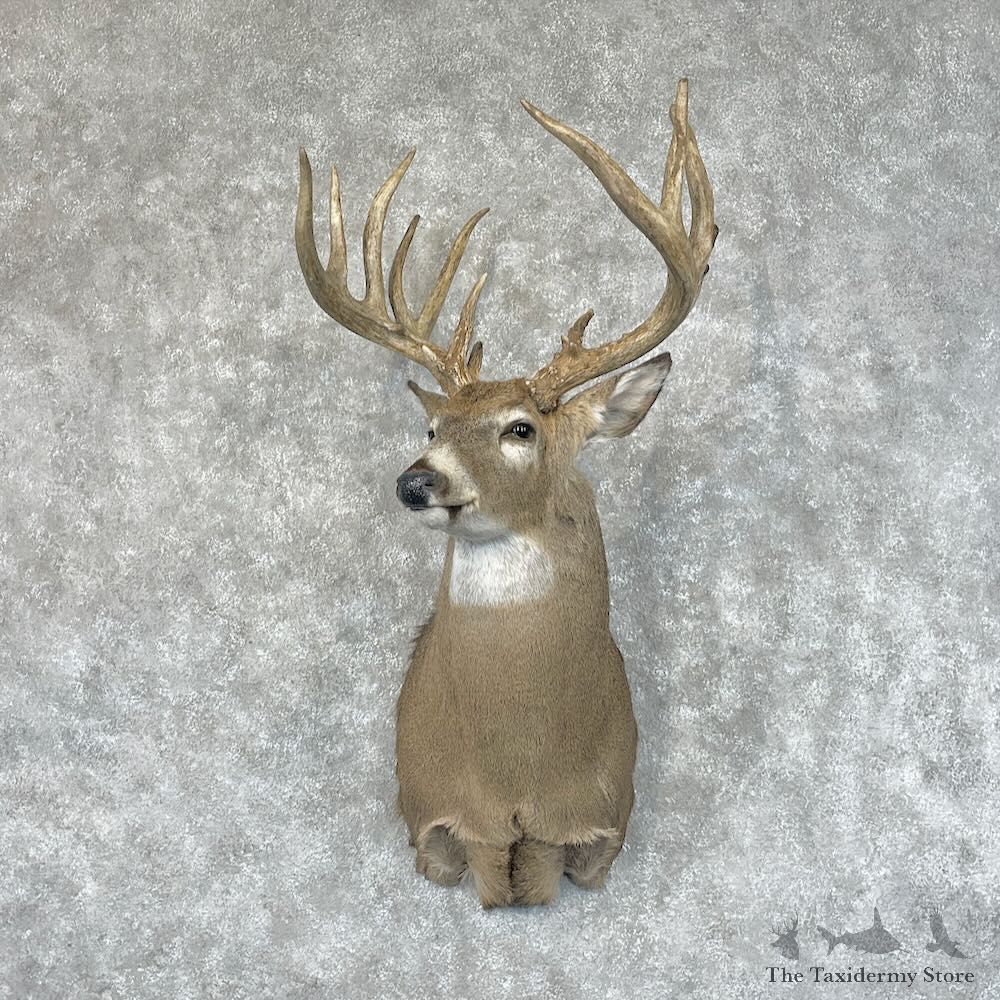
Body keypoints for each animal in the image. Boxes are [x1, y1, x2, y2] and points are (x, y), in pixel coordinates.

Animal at [295, 78, 717, 908]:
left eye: (520, 429)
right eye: (432, 425)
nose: (416, 480)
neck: (520, 765)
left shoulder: (599, 823)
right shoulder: (436, 812)